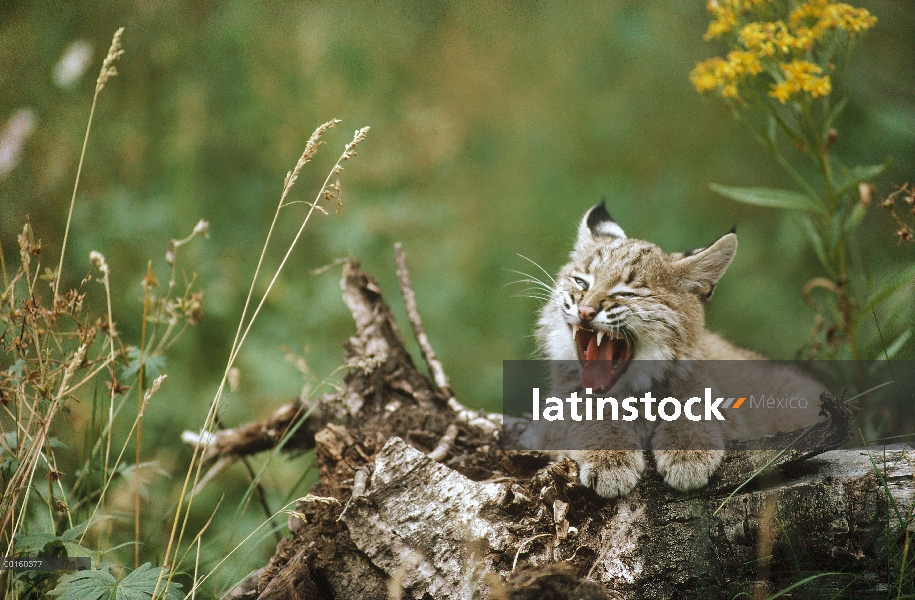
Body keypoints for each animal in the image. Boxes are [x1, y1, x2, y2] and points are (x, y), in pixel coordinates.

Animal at [536, 202, 824, 496]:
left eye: (627, 294)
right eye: (581, 283)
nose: (585, 310)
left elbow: (696, 404)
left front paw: (688, 456)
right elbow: (583, 412)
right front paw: (610, 459)